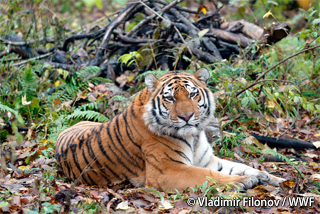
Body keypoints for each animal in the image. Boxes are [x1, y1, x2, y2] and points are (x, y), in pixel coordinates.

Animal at [55, 68, 284, 191]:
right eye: (170, 98)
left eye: (192, 95)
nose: (186, 117)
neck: (193, 136)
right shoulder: (168, 171)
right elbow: (210, 176)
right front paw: (245, 181)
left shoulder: (207, 161)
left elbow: (241, 166)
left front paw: (272, 178)